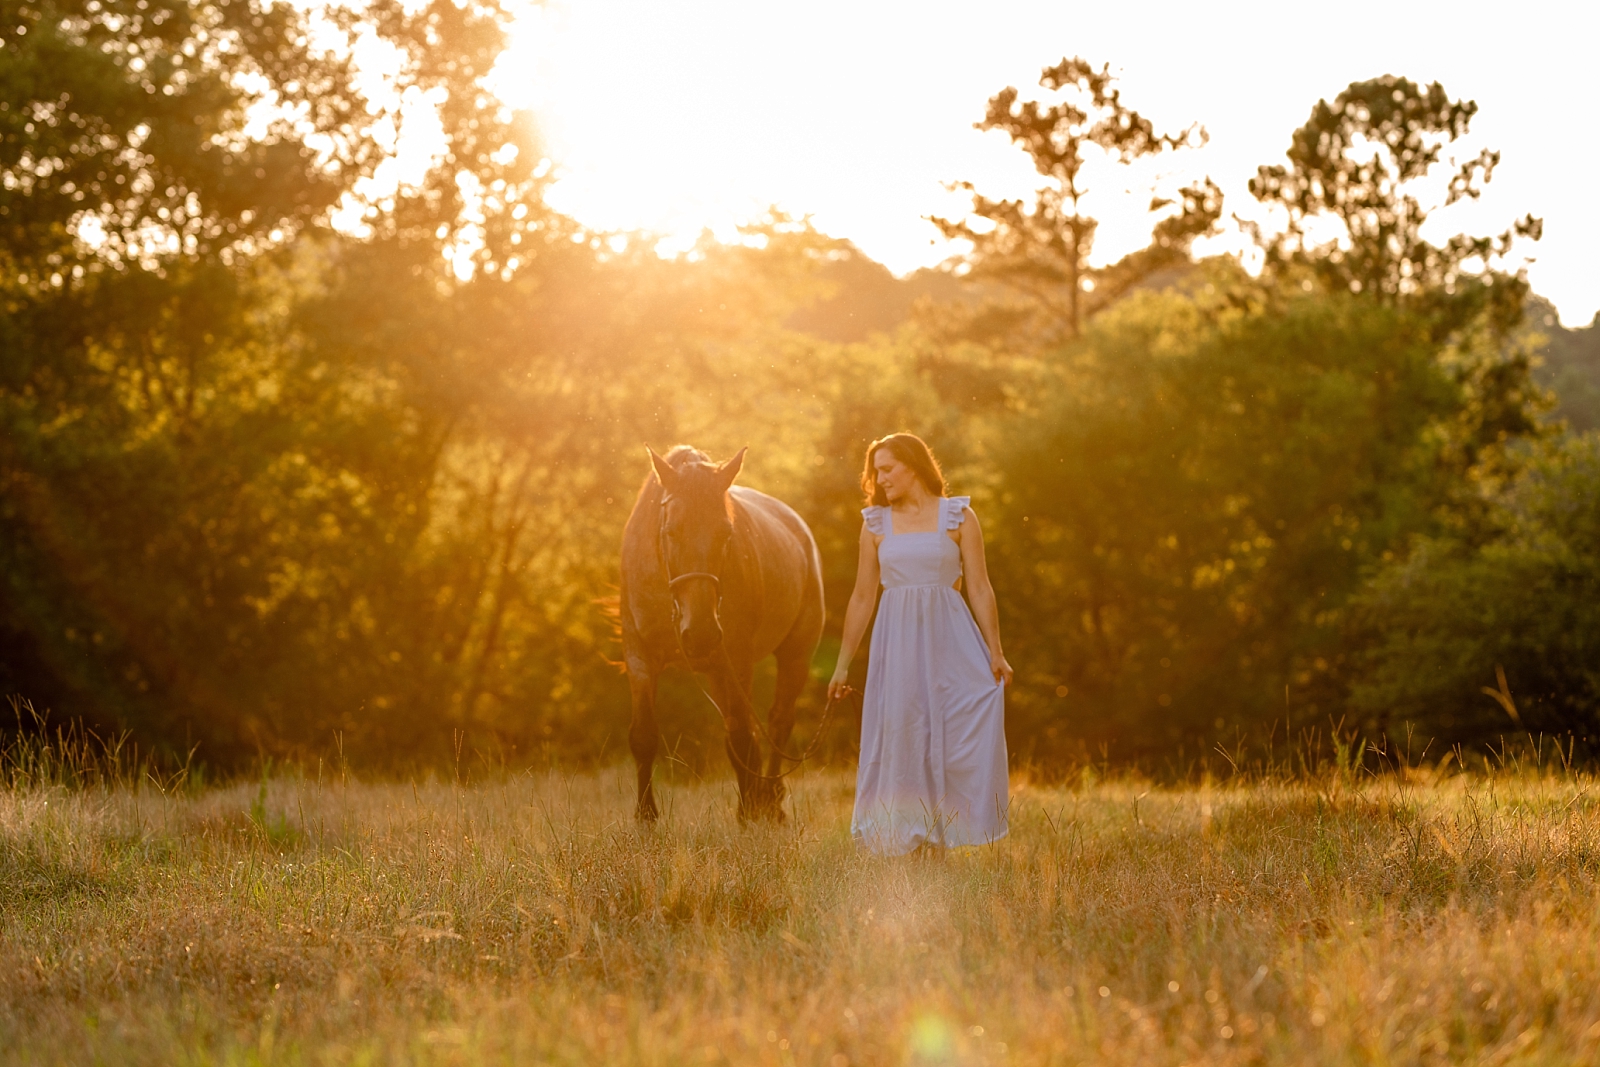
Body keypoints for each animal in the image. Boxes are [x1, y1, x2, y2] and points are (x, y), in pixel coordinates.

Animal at [617, 447, 825, 825]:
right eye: (671, 531)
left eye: (726, 533)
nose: (700, 632)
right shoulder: (639, 657)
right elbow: (643, 735)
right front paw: (646, 816)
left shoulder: (737, 659)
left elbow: (742, 735)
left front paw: (751, 810)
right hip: (717, 671)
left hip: (795, 655)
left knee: (778, 721)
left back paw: (770, 799)